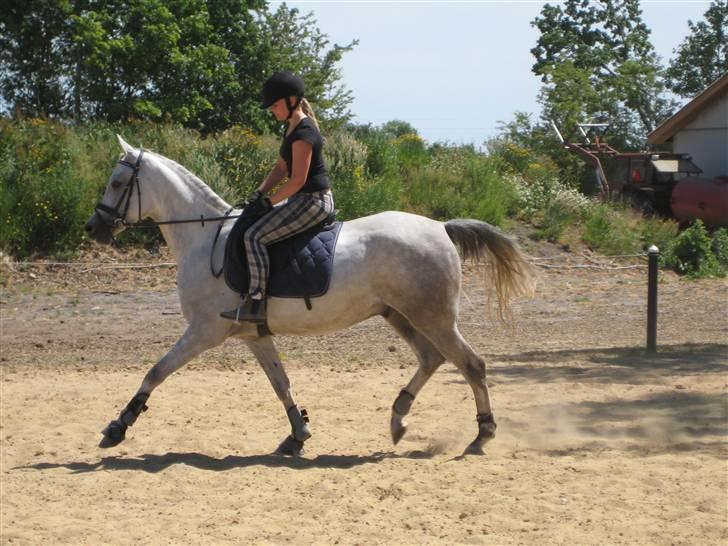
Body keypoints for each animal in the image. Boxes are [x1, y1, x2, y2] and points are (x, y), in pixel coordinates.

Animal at [85, 136, 536, 454]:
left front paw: (117, 427)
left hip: (433, 316)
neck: (204, 238)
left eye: (118, 183)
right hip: (400, 314)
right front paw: (298, 432)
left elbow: (156, 371)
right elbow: (281, 383)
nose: (94, 228)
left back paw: (482, 433)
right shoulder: (253, 335)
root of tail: (441, 227)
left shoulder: (204, 330)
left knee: (471, 364)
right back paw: (398, 419)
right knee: (432, 359)